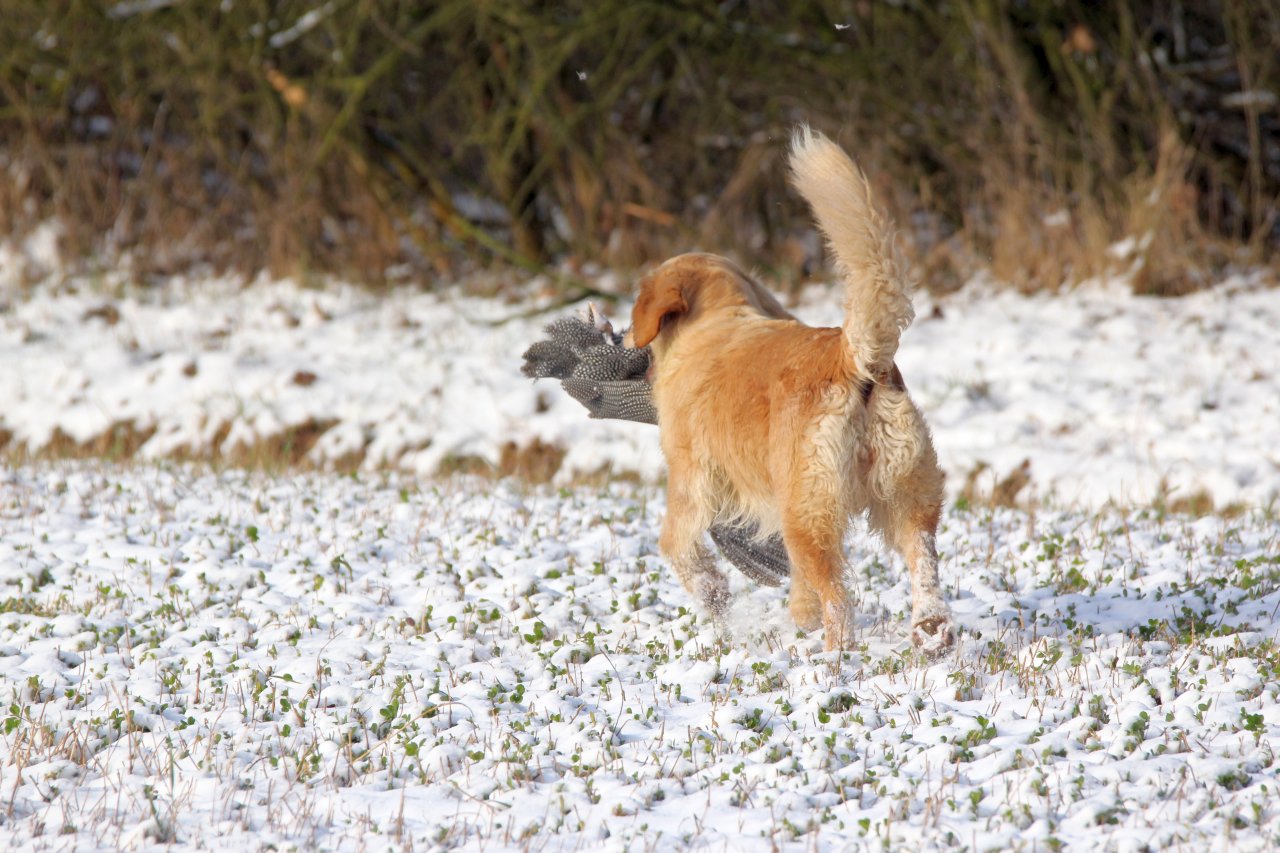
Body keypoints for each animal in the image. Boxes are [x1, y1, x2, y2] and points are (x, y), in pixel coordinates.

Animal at [625, 127, 953, 653]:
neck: (716, 322)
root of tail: (852, 355)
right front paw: (799, 614)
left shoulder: (691, 480)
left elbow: (677, 547)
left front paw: (714, 597)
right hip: (907, 495)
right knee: (923, 564)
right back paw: (930, 631)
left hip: (808, 511)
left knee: (838, 598)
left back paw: (834, 658)